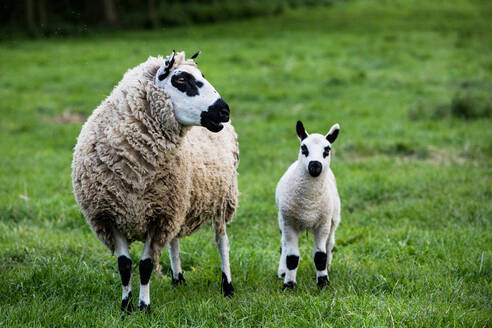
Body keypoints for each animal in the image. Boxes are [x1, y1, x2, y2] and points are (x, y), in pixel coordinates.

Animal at [72, 50, 239, 314]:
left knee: (222, 241)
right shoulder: (112, 216)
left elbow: (146, 266)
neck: (135, 169)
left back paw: (227, 286)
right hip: (180, 201)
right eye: (181, 80)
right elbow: (124, 265)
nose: (224, 110)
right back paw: (178, 279)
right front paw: (125, 306)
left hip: (222, 198)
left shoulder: (158, 218)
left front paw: (144, 306)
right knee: (174, 241)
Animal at [274, 120, 340, 288]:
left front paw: (323, 282)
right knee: (283, 245)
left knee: (330, 244)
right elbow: (292, 257)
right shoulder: (289, 223)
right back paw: (282, 272)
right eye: (303, 148)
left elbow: (320, 256)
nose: (315, 165)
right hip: (282, 219)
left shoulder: (323, 224)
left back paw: (329, 266)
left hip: (334, 218)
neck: (308, 203)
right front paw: (289, 284)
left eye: (327, 150)